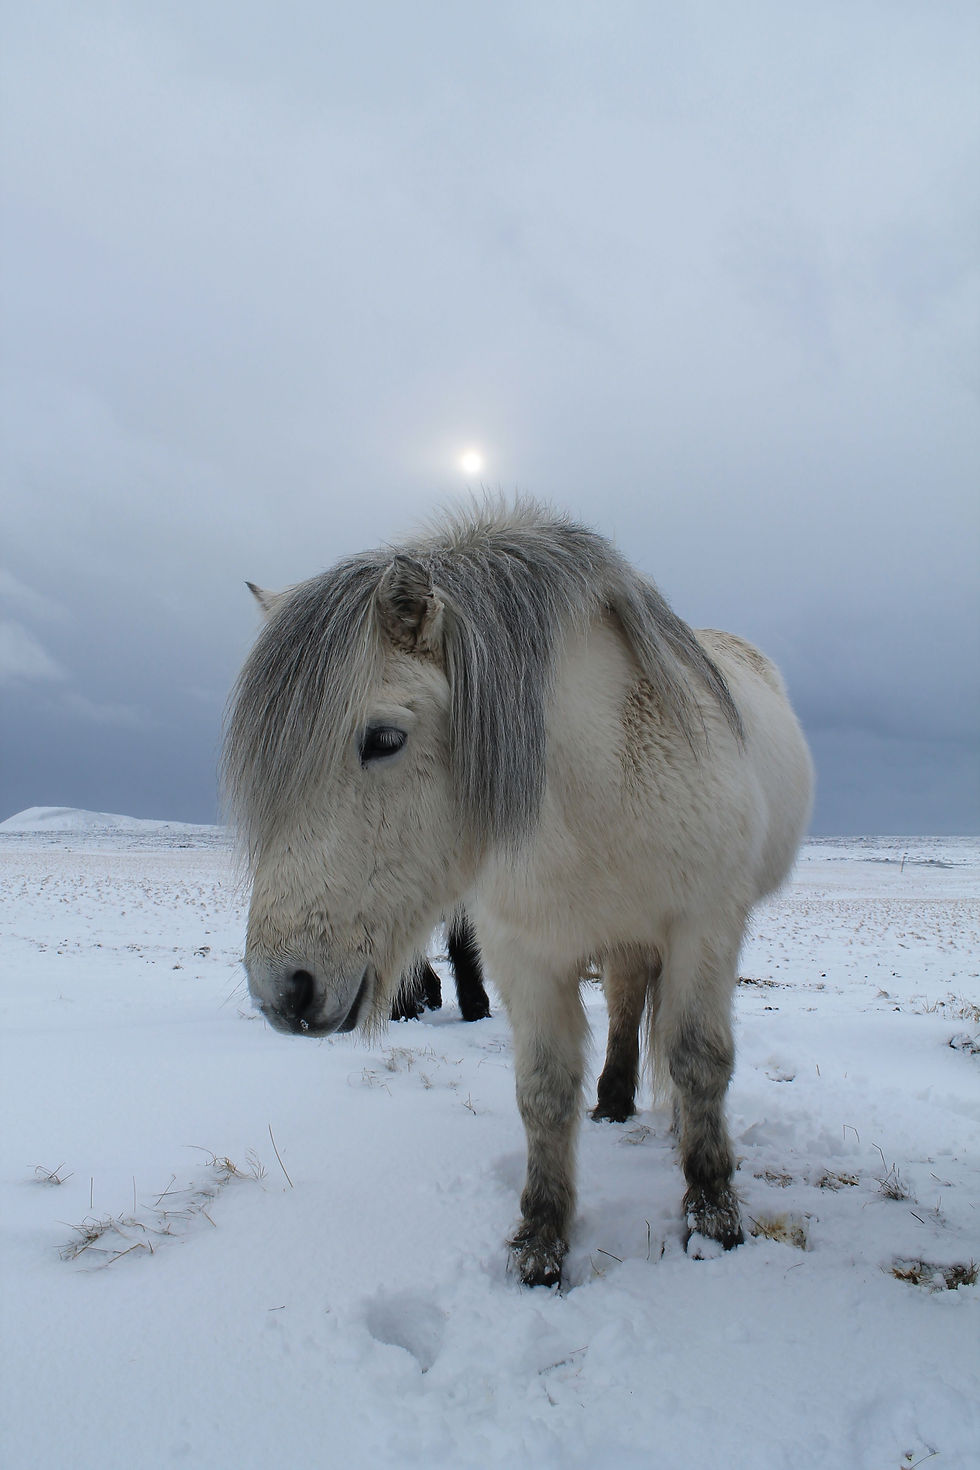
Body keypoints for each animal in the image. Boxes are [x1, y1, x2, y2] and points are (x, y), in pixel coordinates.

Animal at [224, 500, 813, 1287]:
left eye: (384, 738)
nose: (281, 989)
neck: (600, 784)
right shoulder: (525, 952)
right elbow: (543, 1089)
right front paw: (540, 1243)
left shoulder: (705, 927)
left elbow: (698, 1060)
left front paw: (713, 1217)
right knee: (626, 1001)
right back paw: (614, 1100)